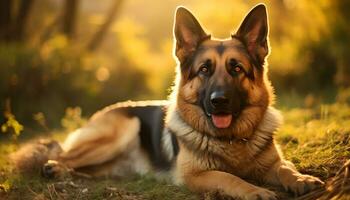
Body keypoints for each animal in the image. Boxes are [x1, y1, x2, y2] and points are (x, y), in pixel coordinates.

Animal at [13, 3, 326, 200]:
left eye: (236, 68)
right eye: (204, 70)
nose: (219, 101)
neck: (230, 141)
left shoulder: (273, 163)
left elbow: (285, 168)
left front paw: (301, 180)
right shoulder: (195, 176)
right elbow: (229, 178)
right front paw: (254, 190)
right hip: (120, 132)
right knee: (61, 156)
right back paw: (54, 168)